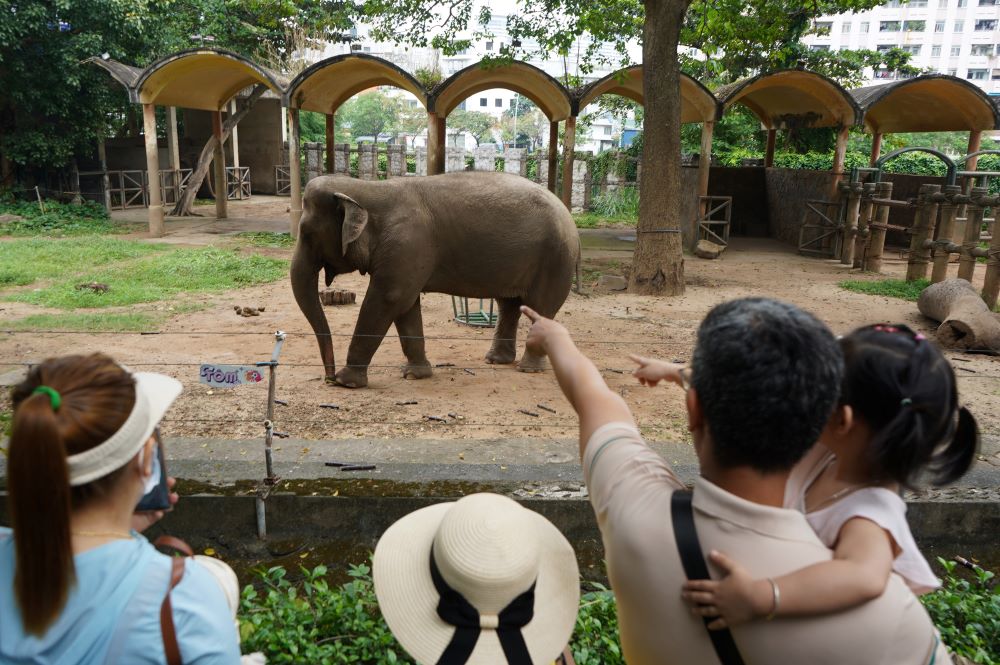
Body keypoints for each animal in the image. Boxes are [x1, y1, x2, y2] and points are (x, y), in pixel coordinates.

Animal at [292, 171, 580, 390]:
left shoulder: (407, 245)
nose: (328, 377)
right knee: (509, 305)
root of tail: (568, 215)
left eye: (306, 234)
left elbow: (389, 298)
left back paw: (528, 369)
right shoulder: (404, 256)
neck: (366, 187)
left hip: (555, 259)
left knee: (540, 308)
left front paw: (347, 382)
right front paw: (413, 374)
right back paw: (496, 361)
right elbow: (406, 306)